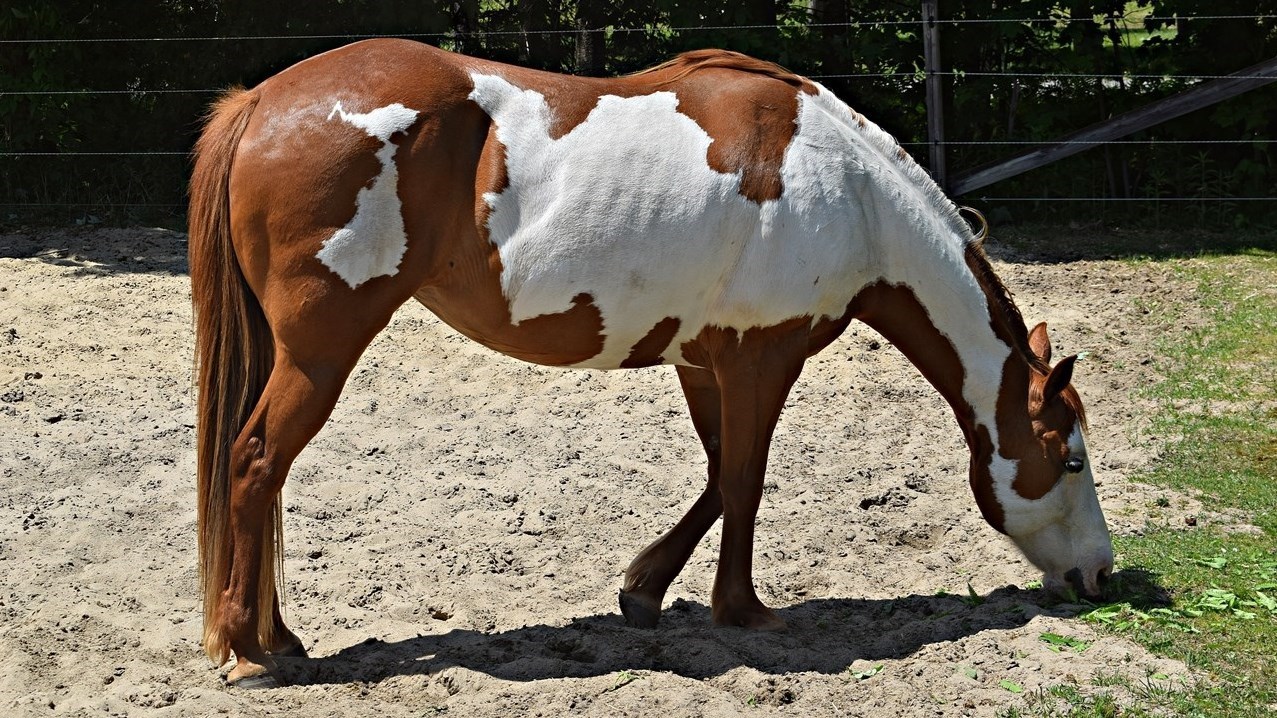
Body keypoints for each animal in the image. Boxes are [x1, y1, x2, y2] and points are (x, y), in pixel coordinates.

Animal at [188, 39, 1113, 686]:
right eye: (1069, 460)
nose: (1099, 574)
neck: (849, 193)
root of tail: (264, 99)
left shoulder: (705, 365)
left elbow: (716, 477)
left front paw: (643, 591)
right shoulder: (761, 361)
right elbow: (743, 481)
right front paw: (743, 612)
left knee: (259, 476)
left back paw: (276, 639)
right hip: (320, 351)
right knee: (255, 462)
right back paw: (247, 654)